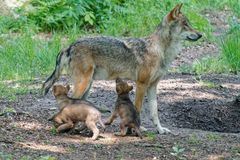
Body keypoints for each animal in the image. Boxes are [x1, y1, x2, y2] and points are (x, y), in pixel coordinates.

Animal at [42, 3, 202, 134]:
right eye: (185, 24)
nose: (200, 34)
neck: (160, 51)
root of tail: (69, 46)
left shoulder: (152, 86)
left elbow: (154, 112)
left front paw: (161, 130)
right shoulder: (141, 84)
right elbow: (138, 108)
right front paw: (138, 128)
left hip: (88, 86)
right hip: (84, 84)